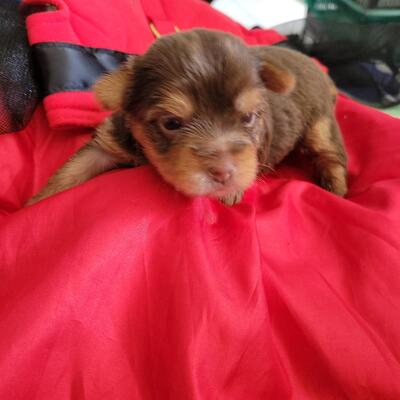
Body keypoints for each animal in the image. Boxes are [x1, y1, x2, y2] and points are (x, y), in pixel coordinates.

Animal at [27, 29, 347, 206]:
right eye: (171, 123)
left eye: (248, 118)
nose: (224, 173)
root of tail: (317, 66)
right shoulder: (107, 143)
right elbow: (71, 171)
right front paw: (34, 203)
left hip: (321, 124)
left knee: (332, 156)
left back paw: (337, 190)